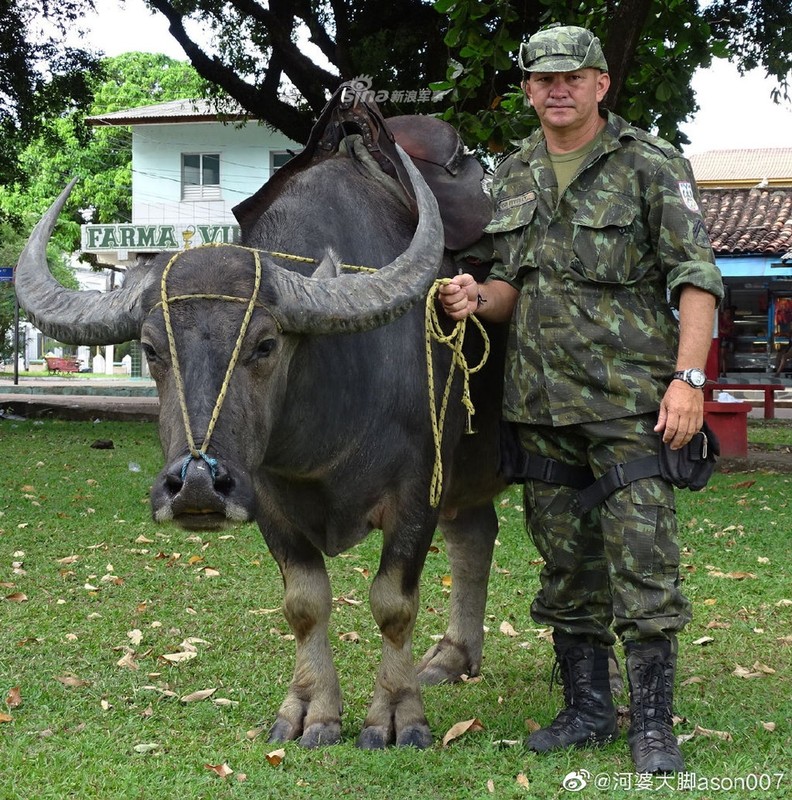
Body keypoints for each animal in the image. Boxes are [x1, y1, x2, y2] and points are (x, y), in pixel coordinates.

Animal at [15, 89, 504, 752]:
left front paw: (396, 714)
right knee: (474, 534)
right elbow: (305, 601)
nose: (197, 486)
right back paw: (452, 657)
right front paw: (310, 709)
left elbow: (392, 602)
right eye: (151, 348)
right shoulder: (268, 497)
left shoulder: (418, 489)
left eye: (266, 345)